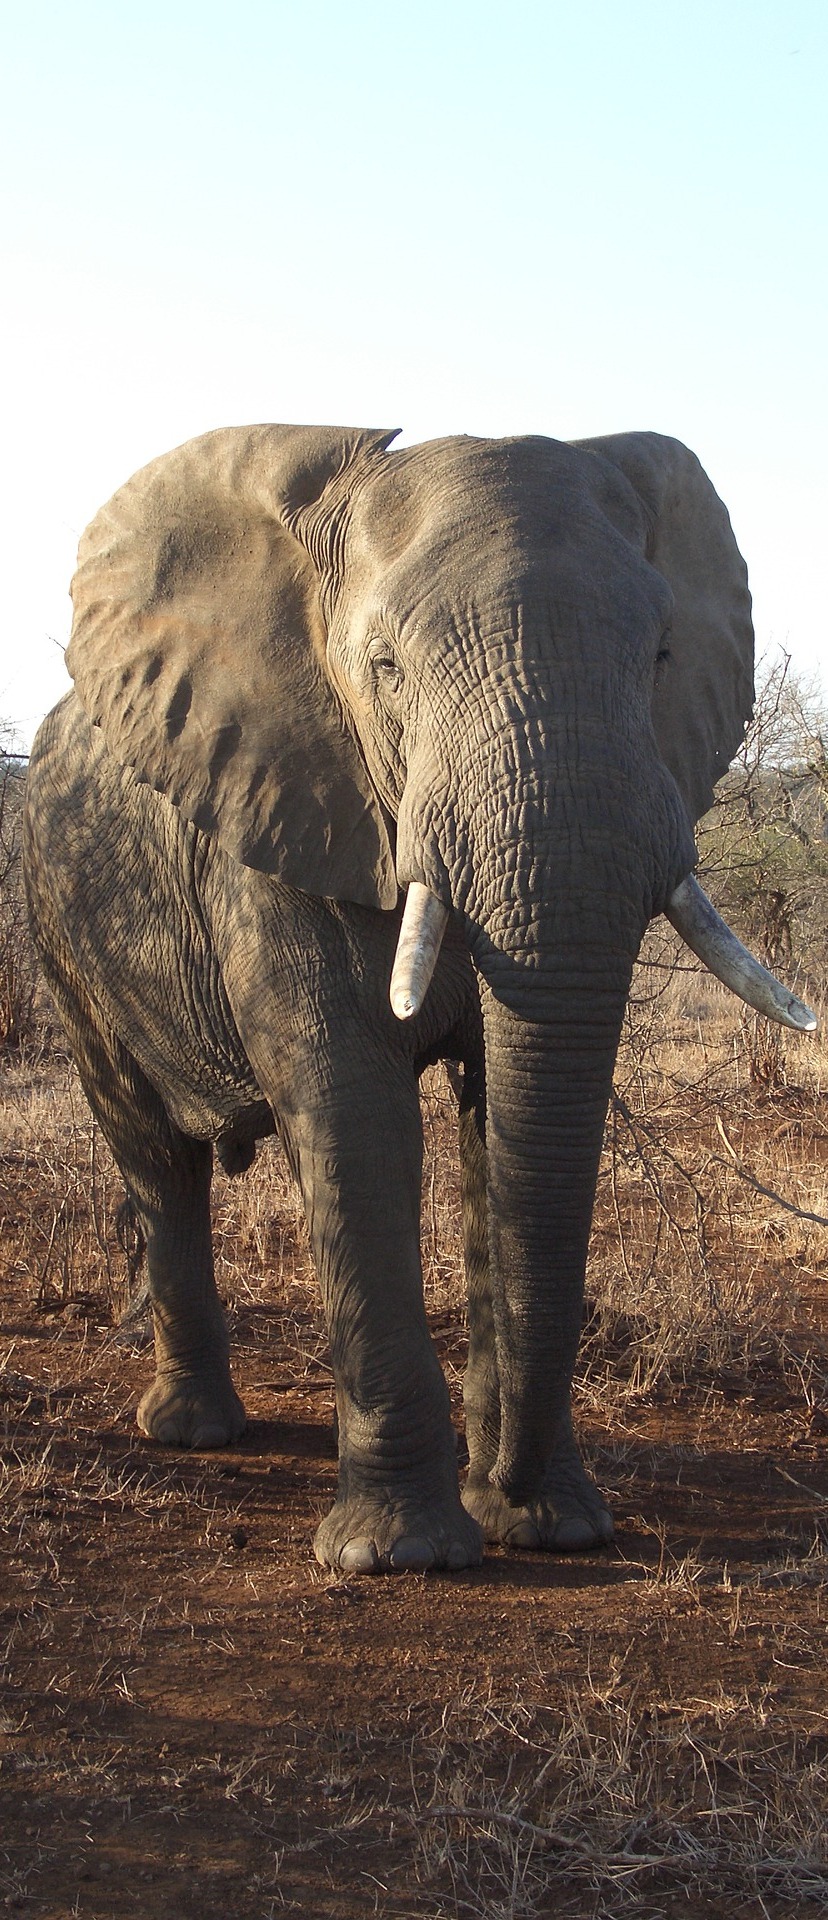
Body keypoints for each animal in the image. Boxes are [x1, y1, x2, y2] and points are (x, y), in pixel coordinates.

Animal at [23, 423, 815, 1575]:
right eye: (385, 669)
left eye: (663, 657)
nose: (519, 1500)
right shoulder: (281, 813)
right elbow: (357, 1113)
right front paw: (401, 1556)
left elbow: (501, 1118)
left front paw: (547, 1524)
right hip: (63, 921)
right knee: (153, 1151)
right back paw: (193, 1431)